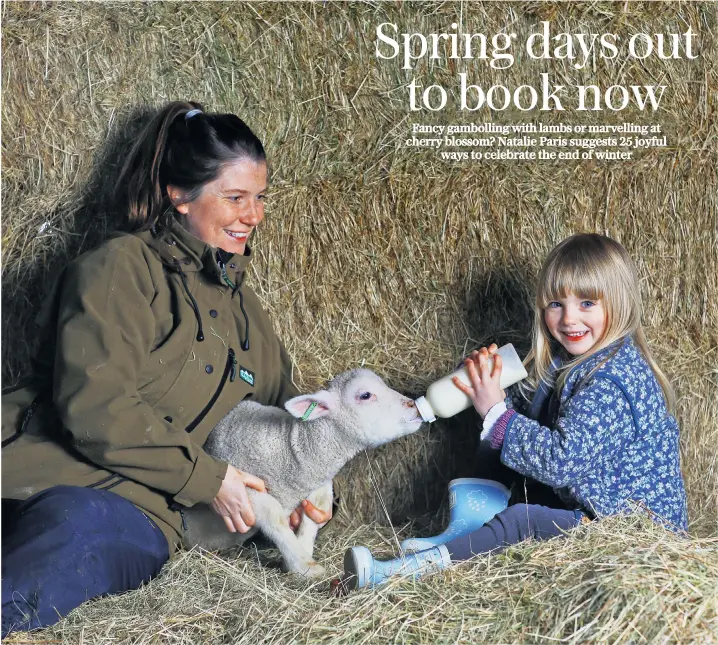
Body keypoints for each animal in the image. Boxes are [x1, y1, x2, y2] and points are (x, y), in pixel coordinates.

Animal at [183, 368, 424, 580]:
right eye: (365, 395)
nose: (413, 404)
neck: (289, 451)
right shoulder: (247, 489)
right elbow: (274, 517)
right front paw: (303, 566)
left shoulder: (318, 487)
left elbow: (315, 513)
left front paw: (304, 553)